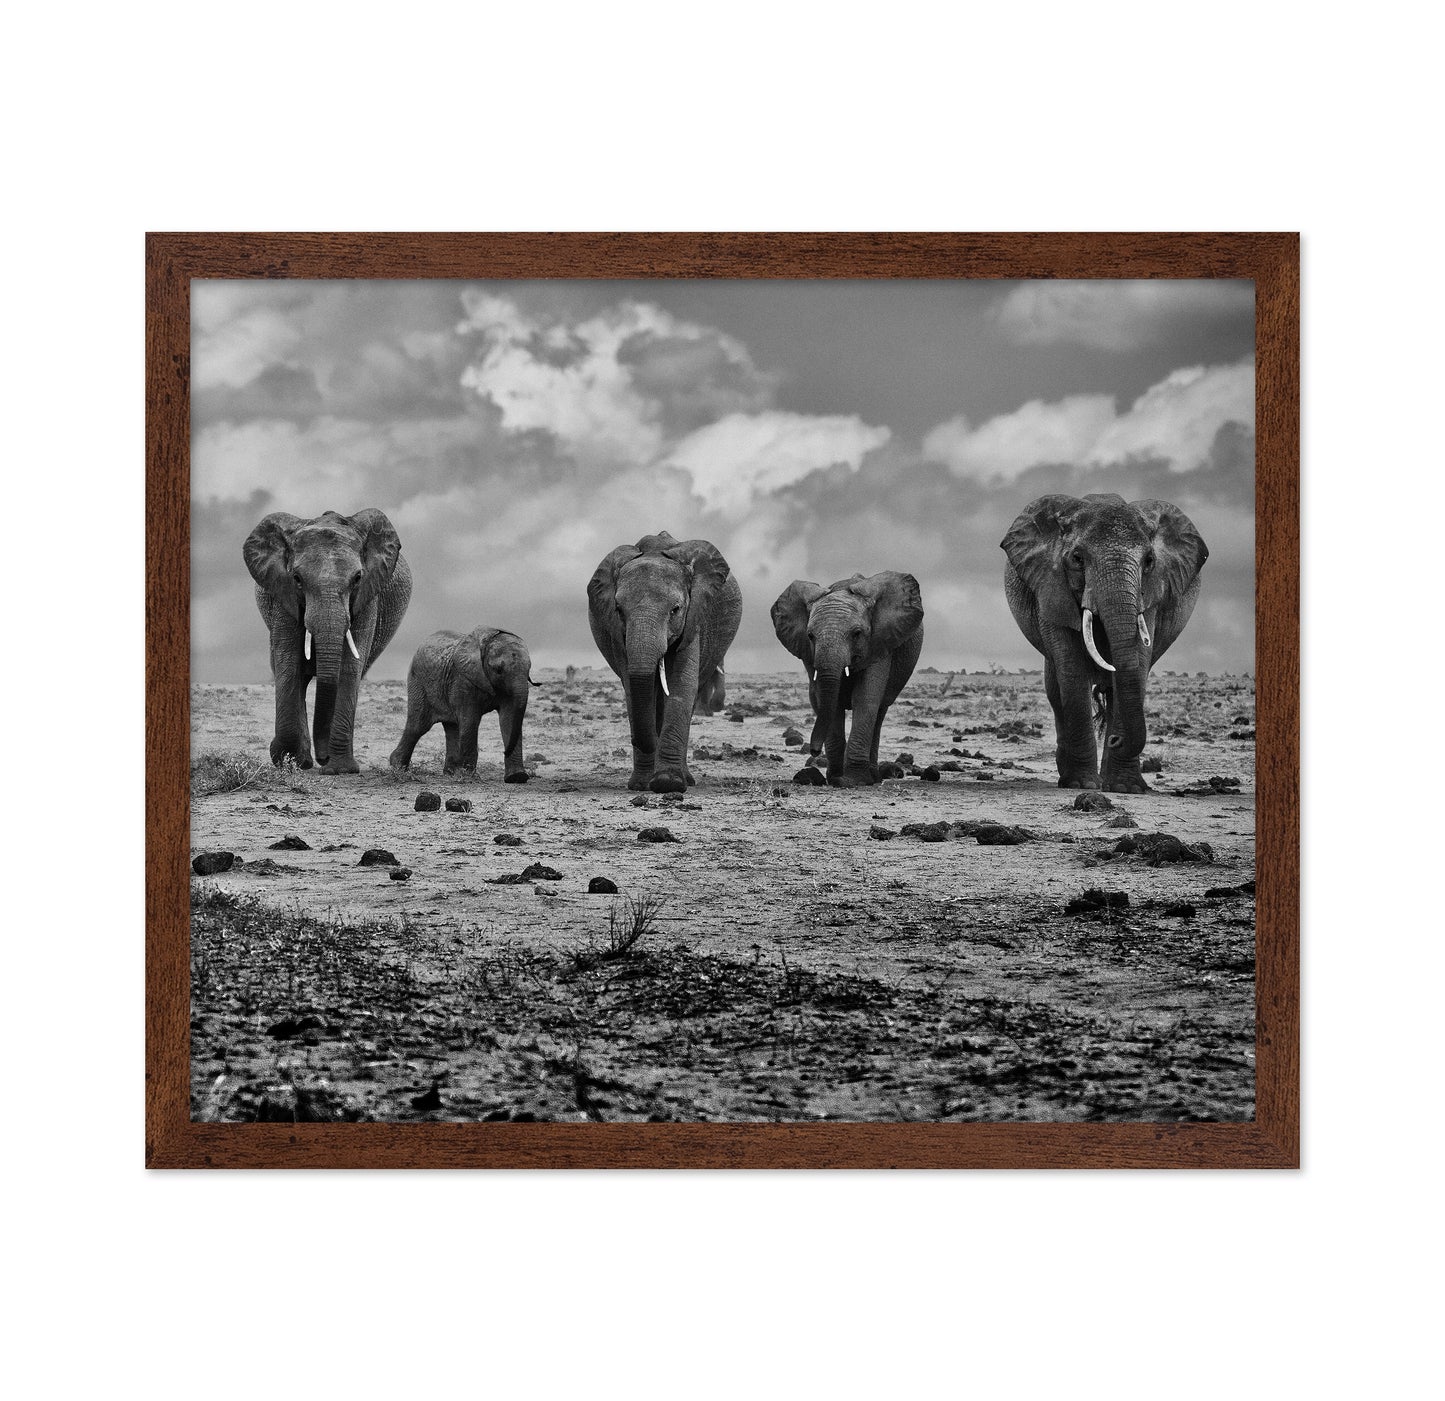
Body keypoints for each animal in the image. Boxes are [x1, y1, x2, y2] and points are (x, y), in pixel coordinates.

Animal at [243, 508, 412, 774]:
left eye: (357, 578)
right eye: (297, 578)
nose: (323, 758)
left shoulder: (367, 597)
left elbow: (350, 667)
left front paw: (340, 769)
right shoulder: (282, 593)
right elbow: (288, 662)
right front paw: (290, 761)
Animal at [389, 627, 536, 781]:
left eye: (529, 669)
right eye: (498, 669)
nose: (504, 751)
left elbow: (509, 718)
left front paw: (517, 778)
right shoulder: (463, 680)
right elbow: (470, 721)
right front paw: (470, 776)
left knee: (451, 727)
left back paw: (450, 773)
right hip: (418, 682)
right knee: (418, 726)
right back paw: (398, 767)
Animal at [586, 531, 742, 792]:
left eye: (675, 609)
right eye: (618, 610)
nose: (640, 740)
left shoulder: (693, 618)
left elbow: (681, 685)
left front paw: (667, 783)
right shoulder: (616, 632)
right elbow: (633, 689)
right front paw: (642, 785)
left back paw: (685, 779)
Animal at [771, 571, 924, 787]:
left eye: (857, 634)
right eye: (810, 636)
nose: (814, 751)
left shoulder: (880, 643)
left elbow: (865, 698)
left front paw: (854, 780)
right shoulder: (809, 653)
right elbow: (829, 701)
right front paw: (835, 778)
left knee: (879, 713)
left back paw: (873, 777)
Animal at [1001, 492, 1208, 793]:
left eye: (1149, 561)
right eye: (1077, 558)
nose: (1115, 740)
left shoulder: (1151, 596)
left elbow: (1138, 662)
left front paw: (1126, 789)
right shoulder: (1051, 587)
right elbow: (1071, 670)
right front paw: (1082, 784)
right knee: (1056, 692)